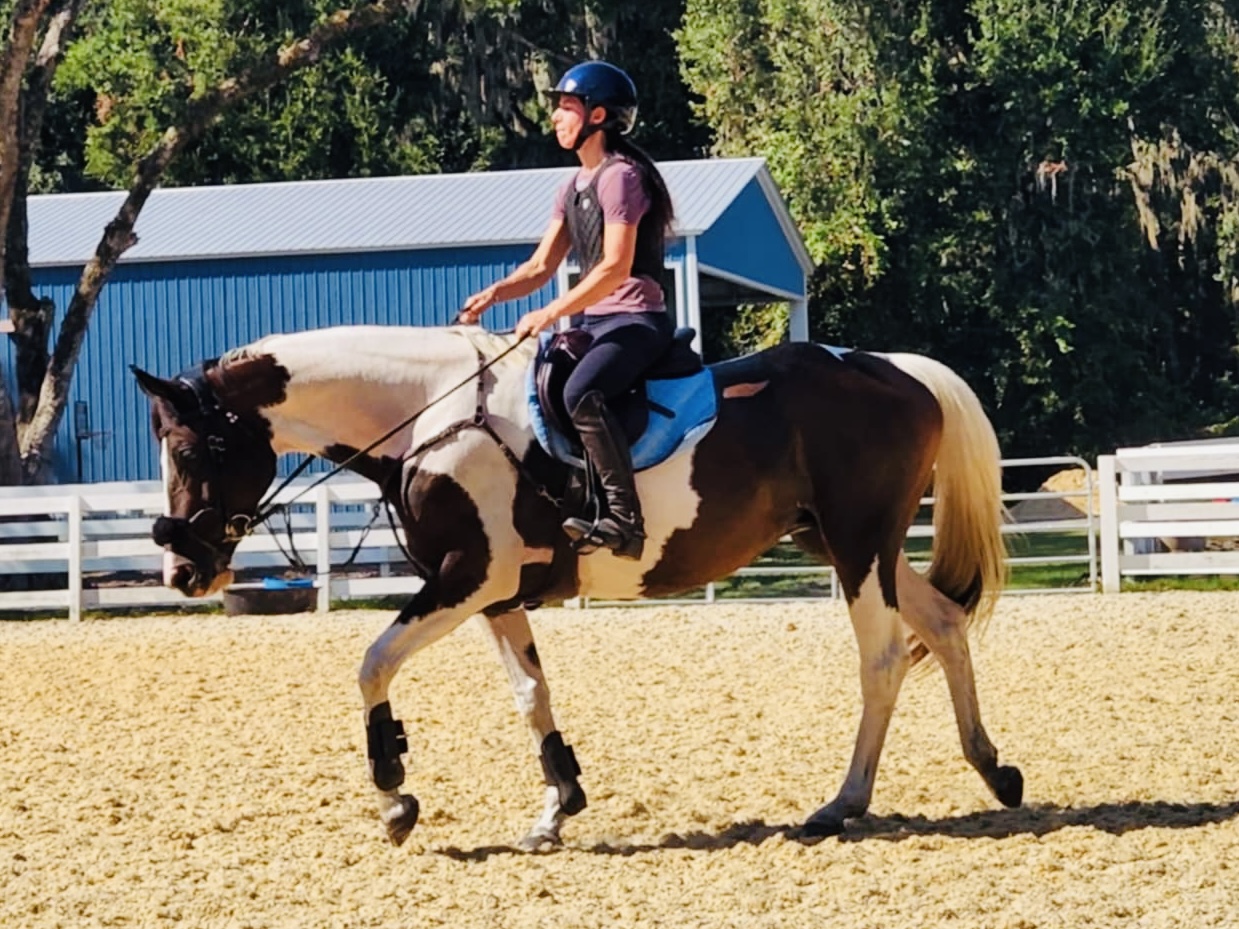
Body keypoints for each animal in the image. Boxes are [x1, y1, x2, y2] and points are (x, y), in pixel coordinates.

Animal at [131, 323, 1023, 849]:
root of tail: (897, 370)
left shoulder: (464, 579)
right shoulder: (495, 595)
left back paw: (844, 802)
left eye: (191, 450)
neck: (429, 416)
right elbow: (532, 692)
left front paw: (393, 795)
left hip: (857, 544)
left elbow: (373, 662)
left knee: (881, 660)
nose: (183, 571)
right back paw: (991, 766)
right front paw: (558, 801)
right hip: (848, 542)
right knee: (943, 624)